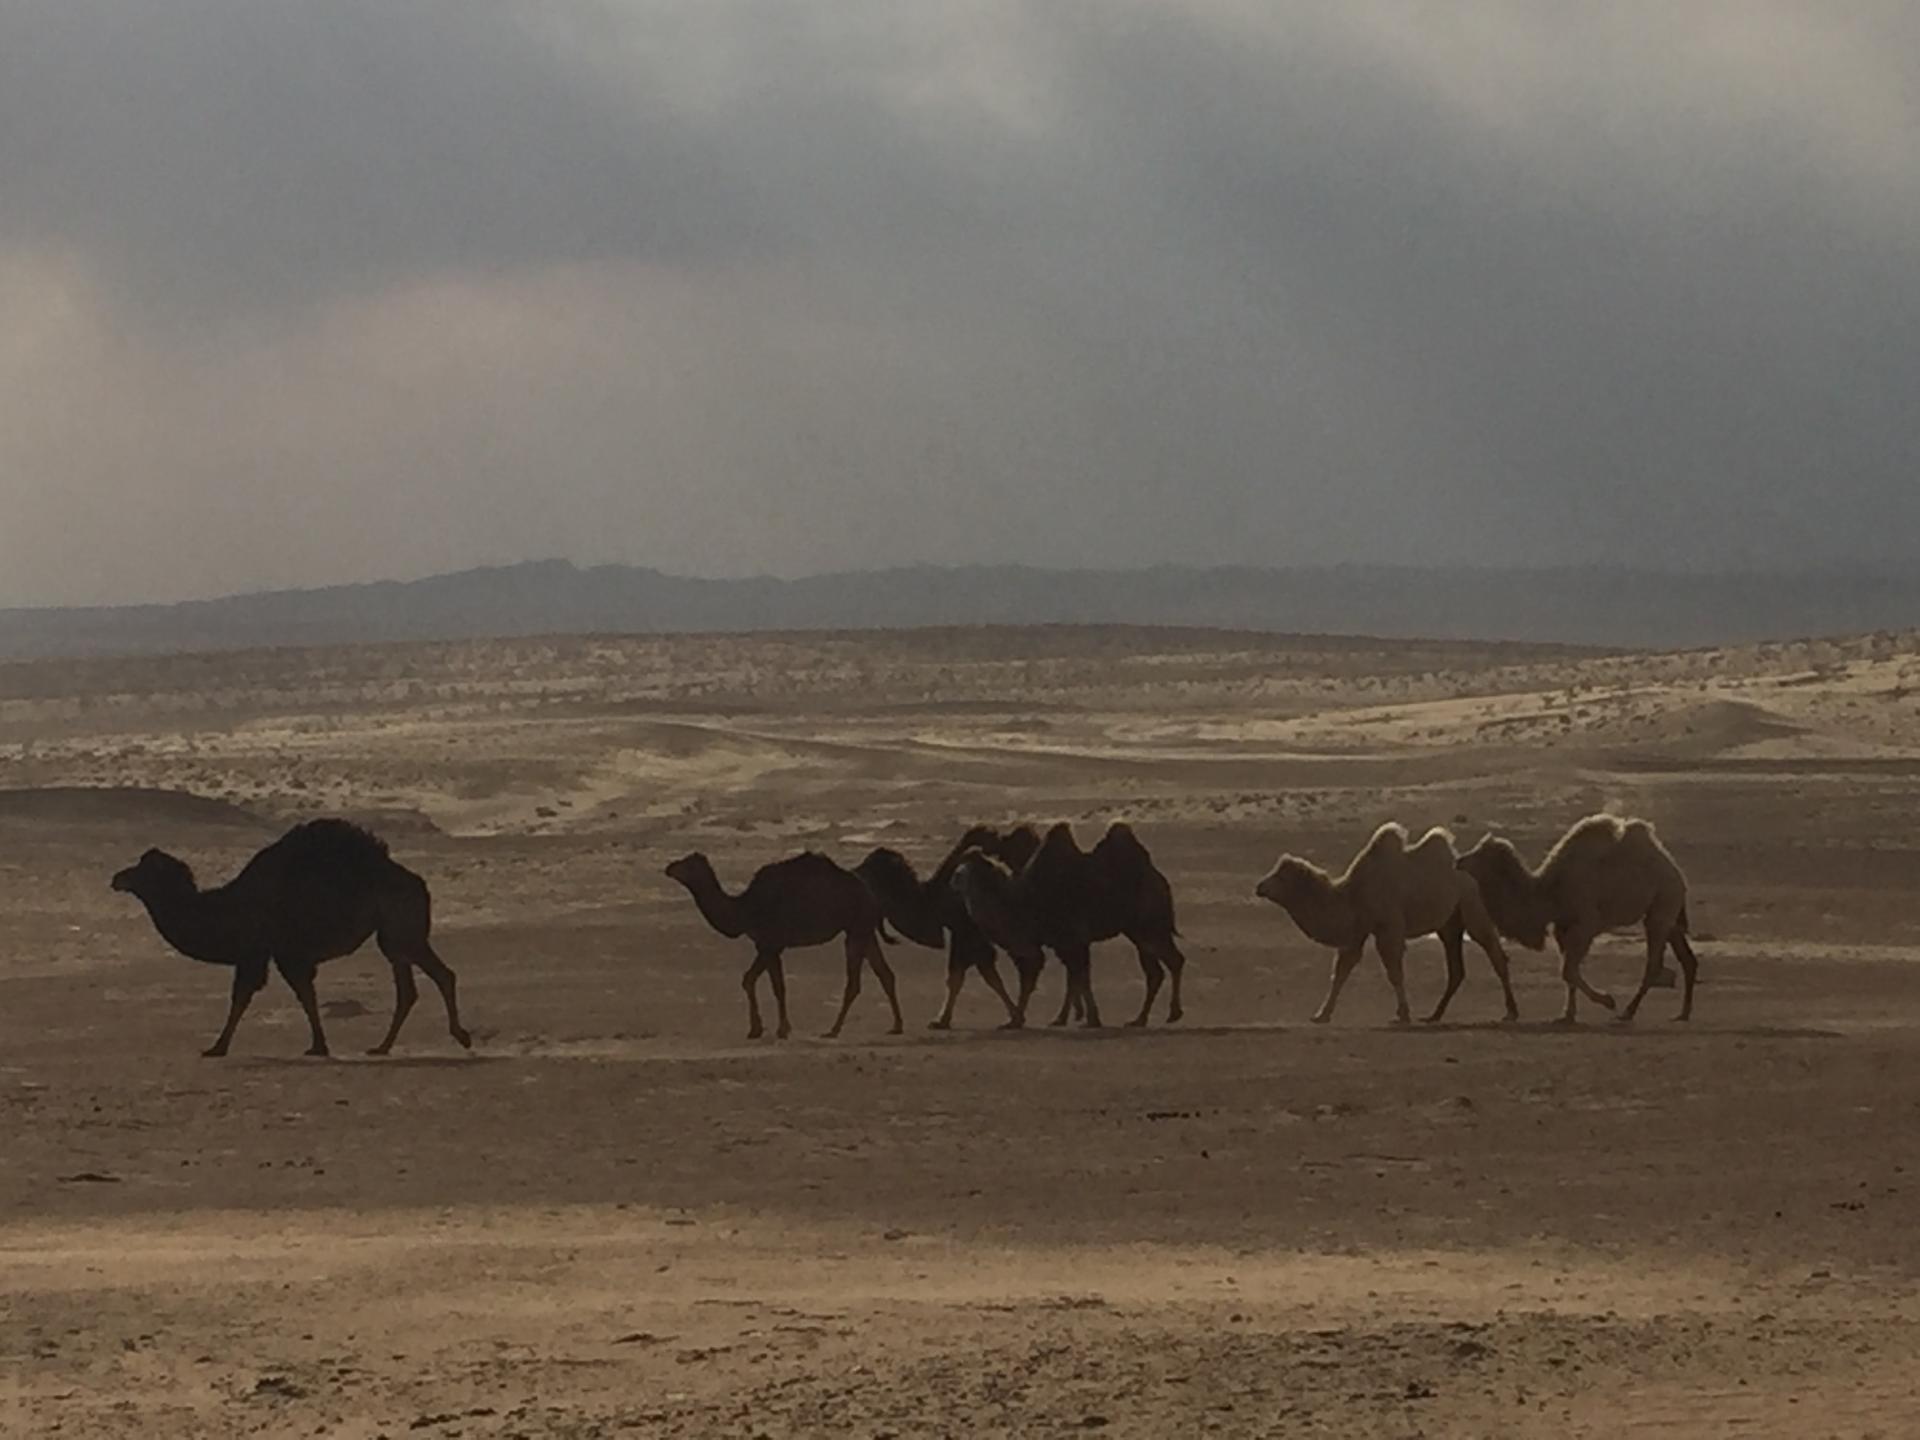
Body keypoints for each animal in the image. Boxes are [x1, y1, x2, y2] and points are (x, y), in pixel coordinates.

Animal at [111, 821, 472, 1059]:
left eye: (143, 871)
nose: (117, 878)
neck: (231, 909)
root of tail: (418, 883)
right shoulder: (281, 954)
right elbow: (303, 994)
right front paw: (318, 1045)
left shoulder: (266, 952)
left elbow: (249, 997)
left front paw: (217, 1047)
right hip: (395, 934)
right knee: (415, 985)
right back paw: (384, 1046)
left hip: (400, 927)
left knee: (436, 976)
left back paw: (459, 1036)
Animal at [664, 852, 902, 1044]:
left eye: (688, 865)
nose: (669, 867)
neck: (744, 908)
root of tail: (872, 896)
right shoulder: (766, 945)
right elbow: (749, 979)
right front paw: (755, 1029)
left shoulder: (770, 943)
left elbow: (777, 987)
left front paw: (782, 1030)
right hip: (864, 930)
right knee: (885, 974)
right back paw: (896, 1026)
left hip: (857, 929)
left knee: (854, 983)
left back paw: (833, 1031)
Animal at [852, 829, 1036, 1029]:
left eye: (873, 864)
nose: (855, 871)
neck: (932, 899)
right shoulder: (960, 932)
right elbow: (962, 976)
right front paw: (942, 1020)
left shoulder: (966, 930)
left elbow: (982, 975)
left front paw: (1015, 1017)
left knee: (1028, 964)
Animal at [1259, 821, 1512, 1029]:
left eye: (1281, 877)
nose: (1259, 886)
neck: (1353, 895)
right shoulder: (1359, 929)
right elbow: (1342, 971)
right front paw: (1322, 1015)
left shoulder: (1389, 927)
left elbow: (1394, 971)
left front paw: (1403, 1015)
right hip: (1449, 924)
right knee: (1457, 967)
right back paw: (1434, 1015)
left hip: (1473, 905)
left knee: (1494, 952)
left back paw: (1511, 1012)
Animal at [1451, 814, 1697, 1029]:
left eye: (1481, 855)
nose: (1459, 861)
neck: (1551, 891)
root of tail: (1676, 873)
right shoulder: (1563, 928)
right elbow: (1568, 972)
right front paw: (1567, 1015)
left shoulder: (1585, 924)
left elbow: (1568, 971)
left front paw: (1607, 1000)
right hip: (1668, 914)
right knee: (1687, 958)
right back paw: (1683, 1013)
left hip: (1663, 904)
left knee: (1654, 962)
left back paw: (1628, 1012)